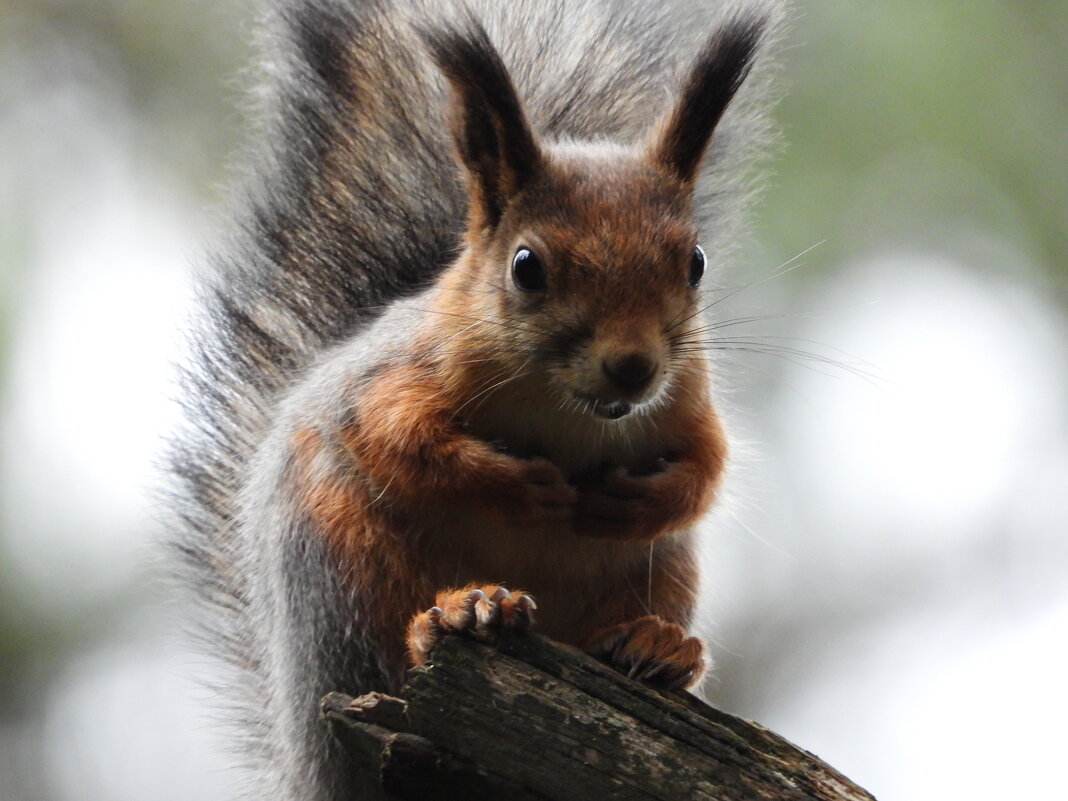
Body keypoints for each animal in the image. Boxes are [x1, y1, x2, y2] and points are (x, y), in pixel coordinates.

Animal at [168, 1, 786, 801]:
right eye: (526, 266)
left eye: (696, 262)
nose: (633, 368)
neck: (568, 411)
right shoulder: (385, 382)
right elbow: (402, 444)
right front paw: (524, 486)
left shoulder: (687, 399)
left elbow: (706, 469)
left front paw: (632, 500)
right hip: (341, 565)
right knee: (387, 651)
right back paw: (462, 613)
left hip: (663, 572)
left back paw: (658, 645)